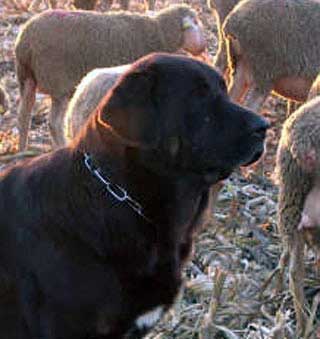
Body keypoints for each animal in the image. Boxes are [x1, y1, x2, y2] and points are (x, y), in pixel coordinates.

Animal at [15, 4, 206, 151]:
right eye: (195, 23)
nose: (204, 47)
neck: (158, 32)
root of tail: (25, 41)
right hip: (58, 81)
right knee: (54, 123)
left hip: (27, 78)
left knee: (23, 118)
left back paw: (22, 150)